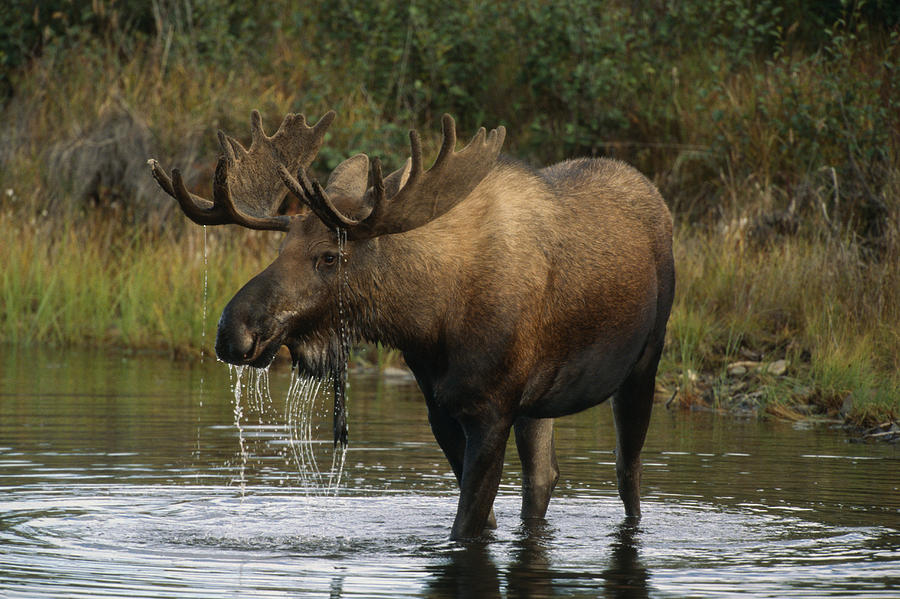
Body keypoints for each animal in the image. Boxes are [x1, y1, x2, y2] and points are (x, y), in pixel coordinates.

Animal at [148, 110, 672, 540]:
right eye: (281, 249)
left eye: (329, 256)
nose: (232, 332)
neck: (428, 321)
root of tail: (656, 197)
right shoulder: (442, 408)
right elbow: (485, 520)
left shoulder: (491, 408)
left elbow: (466, 527)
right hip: (538, 403)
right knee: (543, 478)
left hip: (643, 363)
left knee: (628, 474)